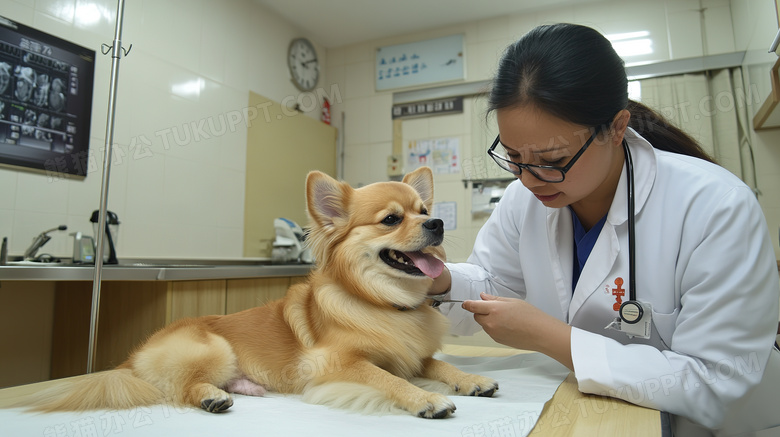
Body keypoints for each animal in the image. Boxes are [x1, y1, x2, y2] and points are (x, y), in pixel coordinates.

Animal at [24, 166, 502, 416]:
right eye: (391, 219)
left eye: (424, 211)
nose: (437, 223)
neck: (384, 303)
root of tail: (133, 359)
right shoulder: (336, 363)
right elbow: (385, 377)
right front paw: (424, 397)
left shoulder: (414, 355)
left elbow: (437, 364)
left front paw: (472, 379)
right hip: (214, 349)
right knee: (178, 388)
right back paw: (211, 396)